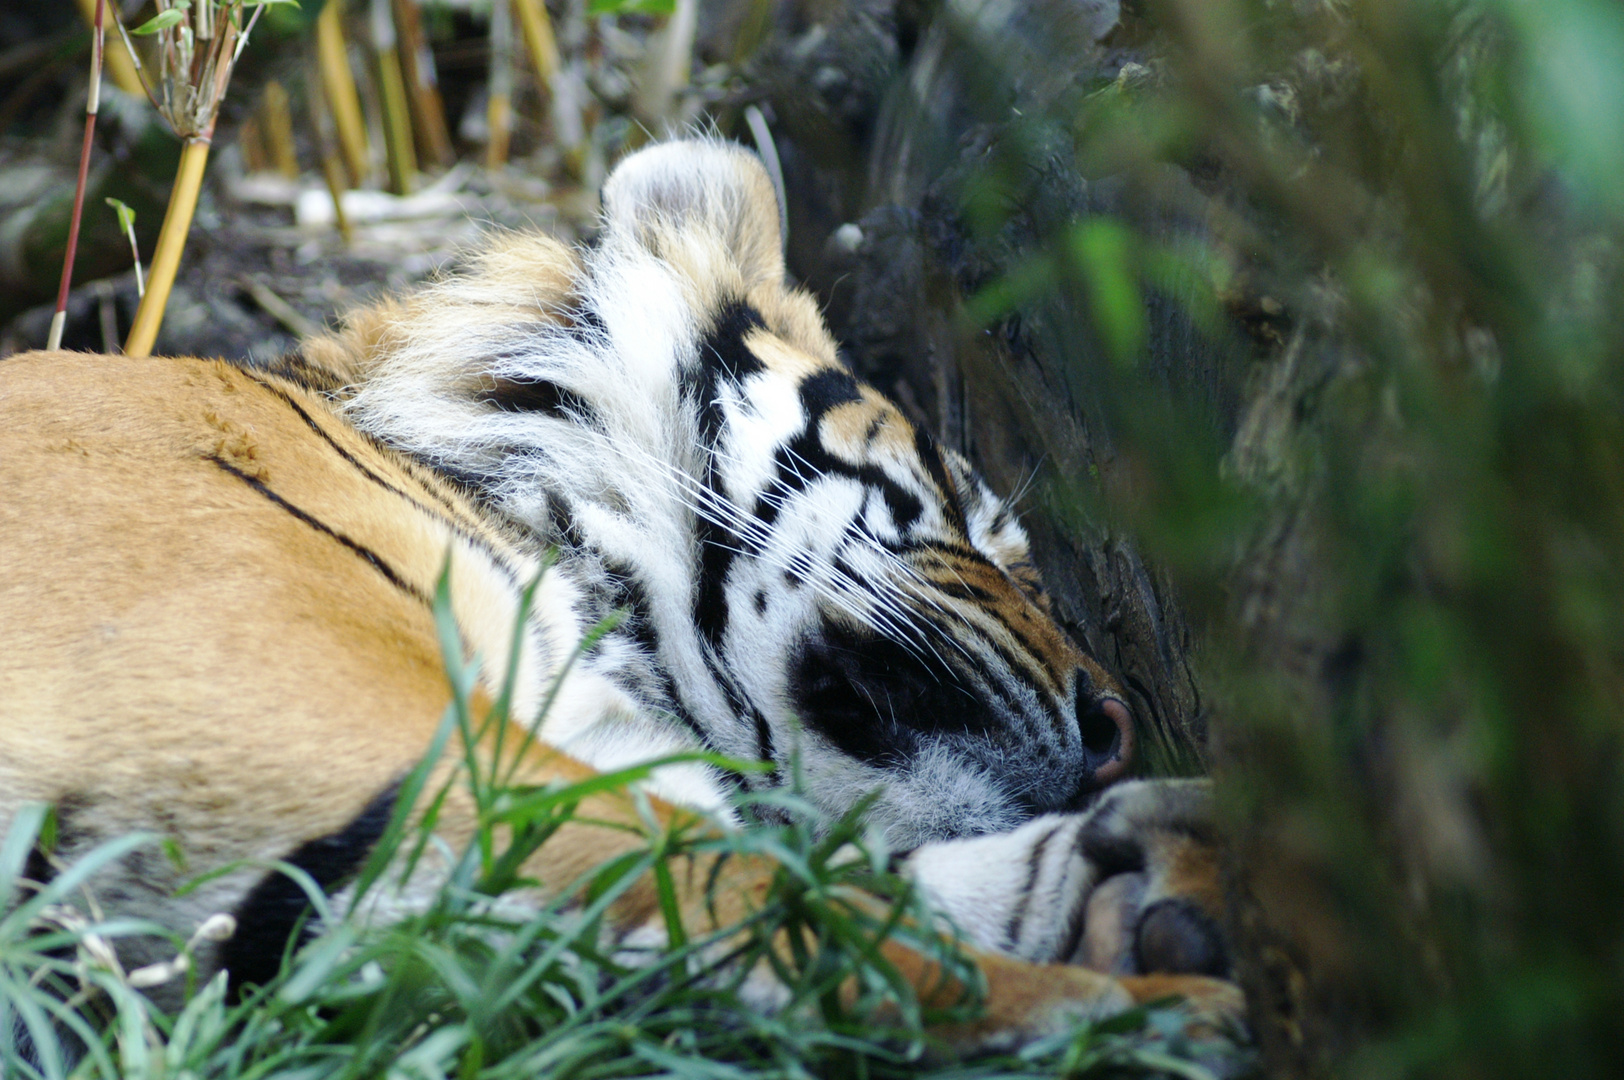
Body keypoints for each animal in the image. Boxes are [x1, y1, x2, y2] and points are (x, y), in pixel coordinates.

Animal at [0, 137, 1234, 1052]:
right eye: (979, 528)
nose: (1121, 732)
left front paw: (1156, 876)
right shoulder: (326, 709)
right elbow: (784, 901)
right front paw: (1164, 1009)